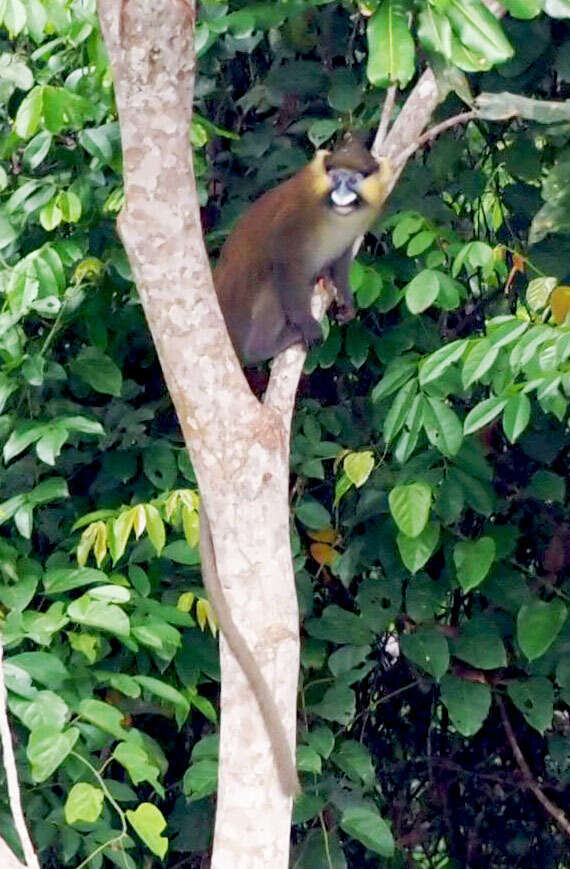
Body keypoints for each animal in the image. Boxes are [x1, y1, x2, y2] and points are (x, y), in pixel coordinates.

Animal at [213, 137, 390, 362]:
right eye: (336, 177)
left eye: (352, 180)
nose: (341, 193)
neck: (332, 214)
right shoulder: (293, 221)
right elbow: (287, 267)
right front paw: (308, 325)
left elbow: (341, 260)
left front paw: (347, 302)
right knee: (275, 282)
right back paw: (262, 348)